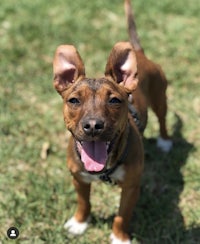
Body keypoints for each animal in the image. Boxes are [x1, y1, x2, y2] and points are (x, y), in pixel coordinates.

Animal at [52, 0, 172, 243]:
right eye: (74, 100)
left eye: (115, 100)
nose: (93, 126)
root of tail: (139, 53)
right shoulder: (78, 178)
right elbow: (84, 202)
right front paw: (79, 223)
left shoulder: (131, 187)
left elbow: (122, 215)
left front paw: (119, 237)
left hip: (160, 96)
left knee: (163, 119)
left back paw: (164, 141)